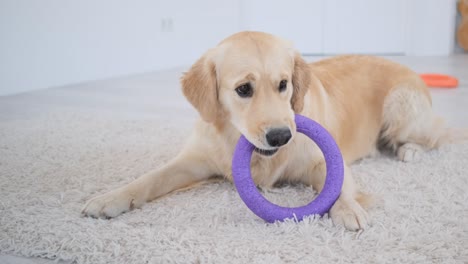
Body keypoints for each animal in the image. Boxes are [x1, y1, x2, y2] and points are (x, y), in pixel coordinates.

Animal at [82, 31, 462, 231]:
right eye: (243, 89)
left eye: (283, 84)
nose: (281, 136)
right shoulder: (194, 160)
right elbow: (150, 178)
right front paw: (108, 199)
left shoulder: (323, 160)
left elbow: (338, 183)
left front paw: (347, 209)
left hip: (401, 106)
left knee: (437, 134)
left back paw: (409, 150)